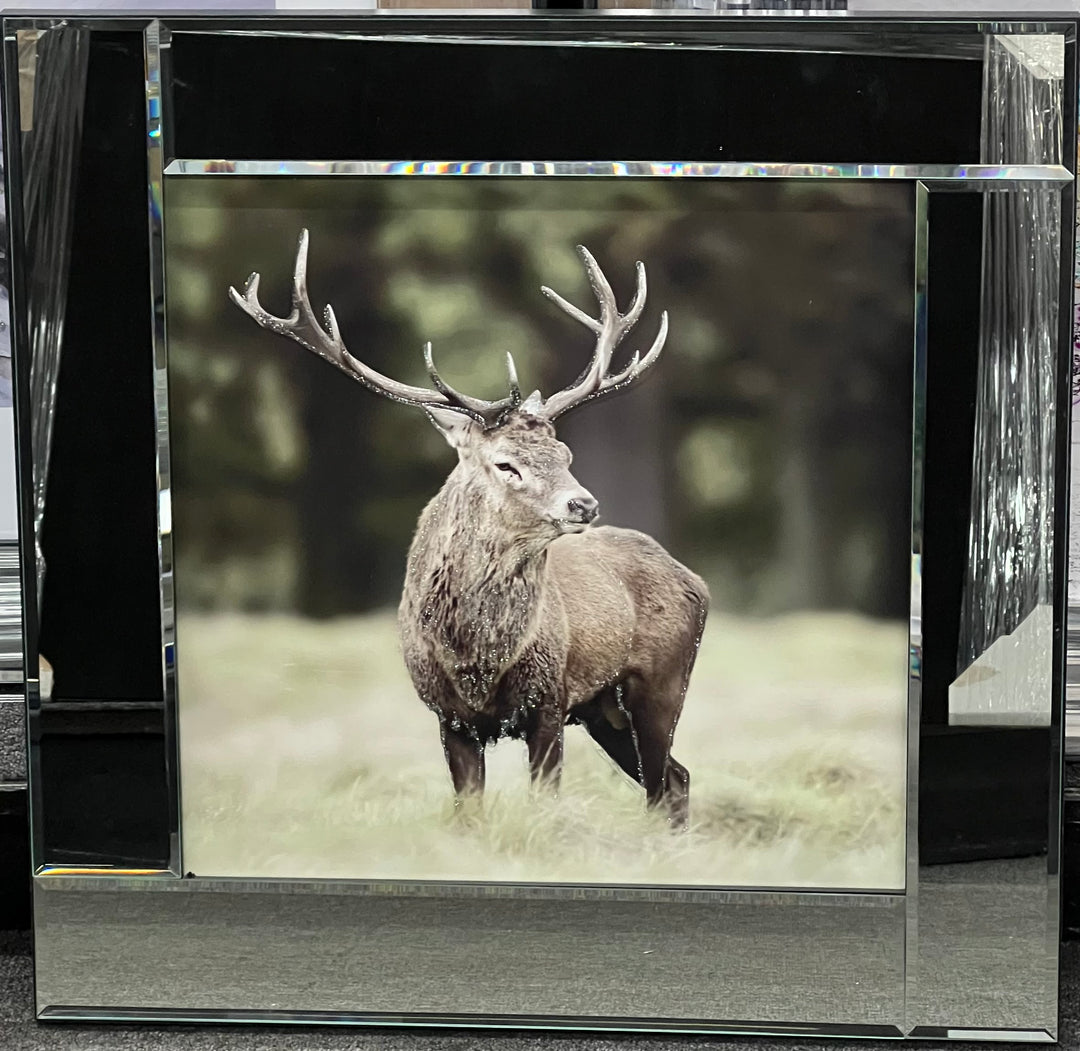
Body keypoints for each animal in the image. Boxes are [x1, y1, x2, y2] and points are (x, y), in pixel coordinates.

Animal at [229, 231, 709, 827]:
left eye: (565, 454)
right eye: (506, 464)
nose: (584, 504)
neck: (475, 661)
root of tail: (695, 580)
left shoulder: (548, 701)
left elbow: (544, 802)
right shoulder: (447, 716)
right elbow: (469, 813)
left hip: (662, 681)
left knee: (665, 782)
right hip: (605, 711)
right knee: (675, 777)